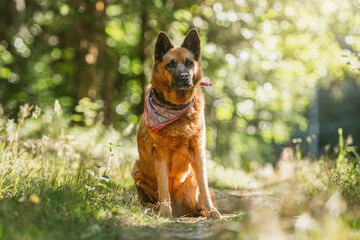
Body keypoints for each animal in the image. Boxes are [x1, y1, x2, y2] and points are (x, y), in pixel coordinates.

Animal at [132, 29, 221, 218]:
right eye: (170, 64)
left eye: (189, 63)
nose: (184, 76)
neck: (178, 107)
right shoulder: (161, 155)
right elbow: (163, 188)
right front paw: (165, 212)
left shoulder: (198, 152)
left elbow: (204, 186)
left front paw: (211, 210)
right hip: (135, 168)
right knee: (149, 198)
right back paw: (152, 208)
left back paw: (202, 210)